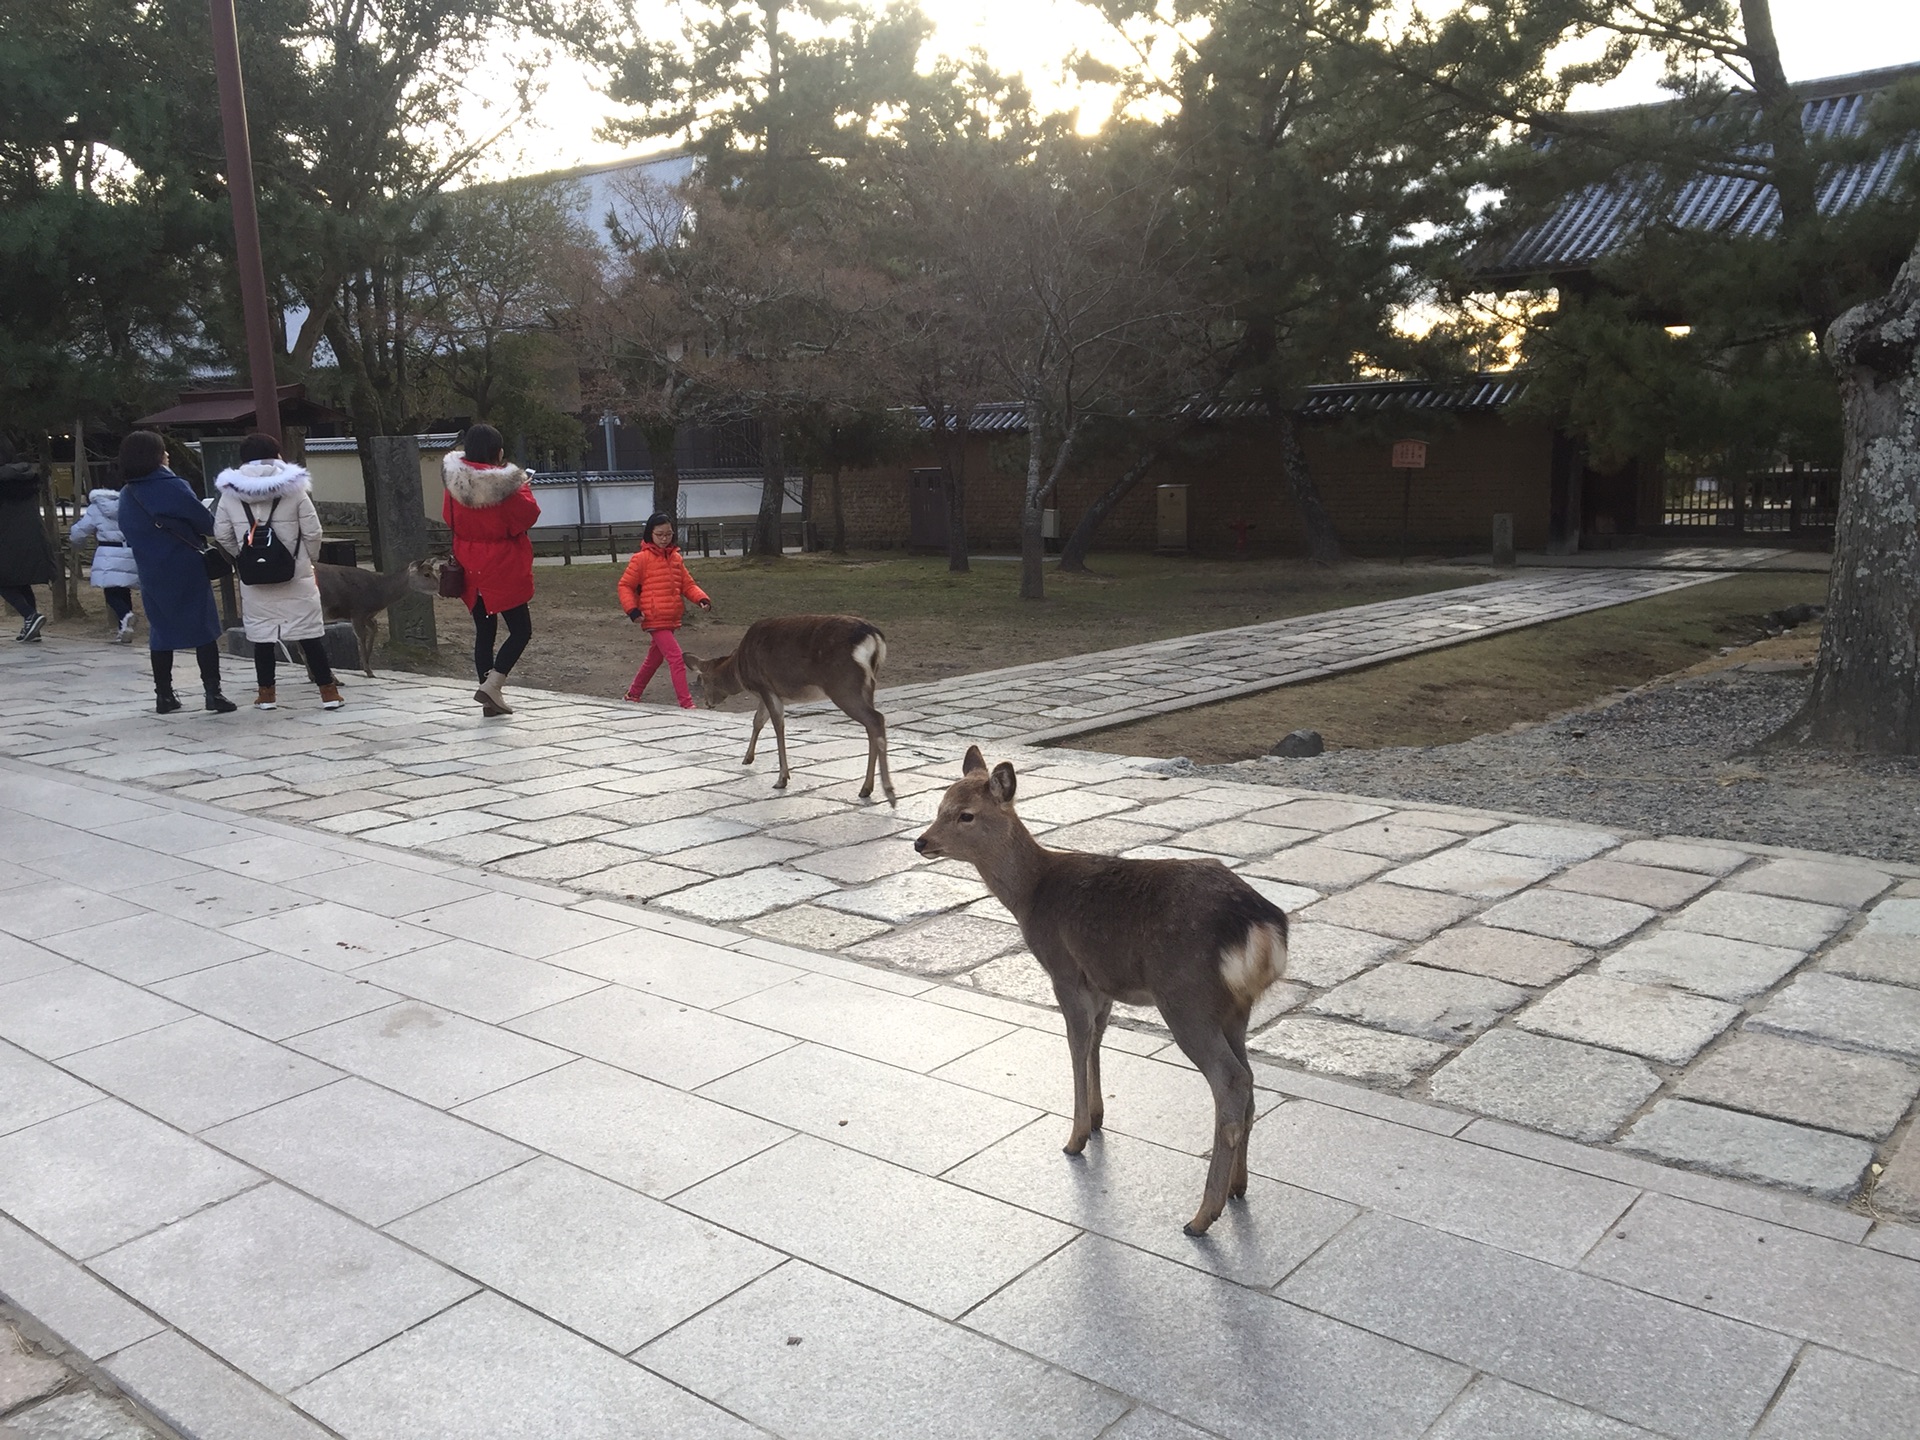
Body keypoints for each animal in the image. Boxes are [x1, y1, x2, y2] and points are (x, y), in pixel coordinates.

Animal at [691, 614, 898, 806]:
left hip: (843, 686)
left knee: (876, 719)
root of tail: (874, 637)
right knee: (871, 726)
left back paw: (888, 792)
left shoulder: (764, 686)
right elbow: (758, 720)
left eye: (702, 680)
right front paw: (747, 758)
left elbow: (777, 725)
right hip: (868, 686)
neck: (739, 669)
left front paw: (782, 778)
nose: (707, 703)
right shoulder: (770, 691)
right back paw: (866, 789)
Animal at [913, 748, 1290, 1236]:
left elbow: (1075, 1043)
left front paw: (1074, 1138)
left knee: (1231, 1080)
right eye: (940, 804)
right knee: (1250, 1082)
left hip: (1186, 997)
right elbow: (1095, 1040)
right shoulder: (1103, 982)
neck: (1031, 896)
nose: (921, 842)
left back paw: (1201, 1216)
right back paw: (1237, 1187)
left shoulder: (1065, 969)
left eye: (966, 814)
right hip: (1235, 1009)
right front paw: (1096, 1120)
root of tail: (1261, 926)